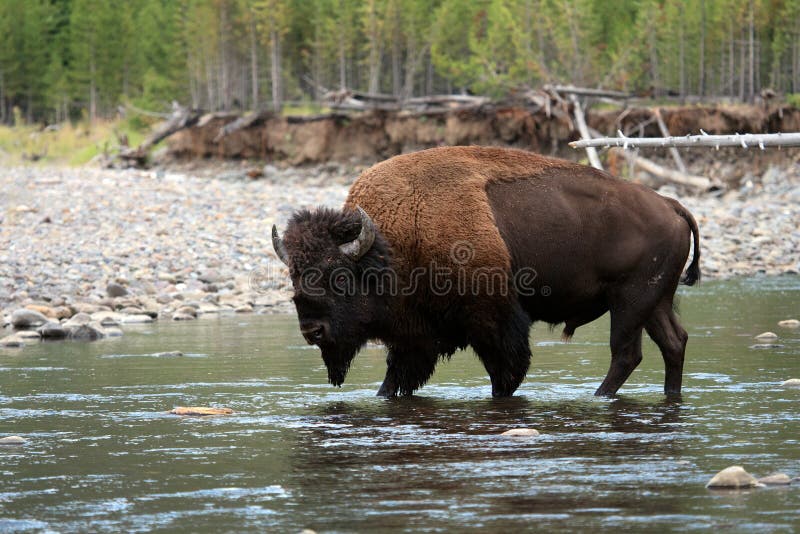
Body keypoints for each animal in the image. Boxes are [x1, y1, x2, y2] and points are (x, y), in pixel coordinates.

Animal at [276, 147, 700, 398]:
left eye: (339, 276)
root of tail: (670, 203)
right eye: (295, 276)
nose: (311, 330)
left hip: (629, 301)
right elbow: (395, 380)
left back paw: (600, 397)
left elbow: (505, 373)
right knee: (673, 342)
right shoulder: (415, 336)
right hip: (654, 302)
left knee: (626, 353)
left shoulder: (491, 323)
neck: (392, 244)